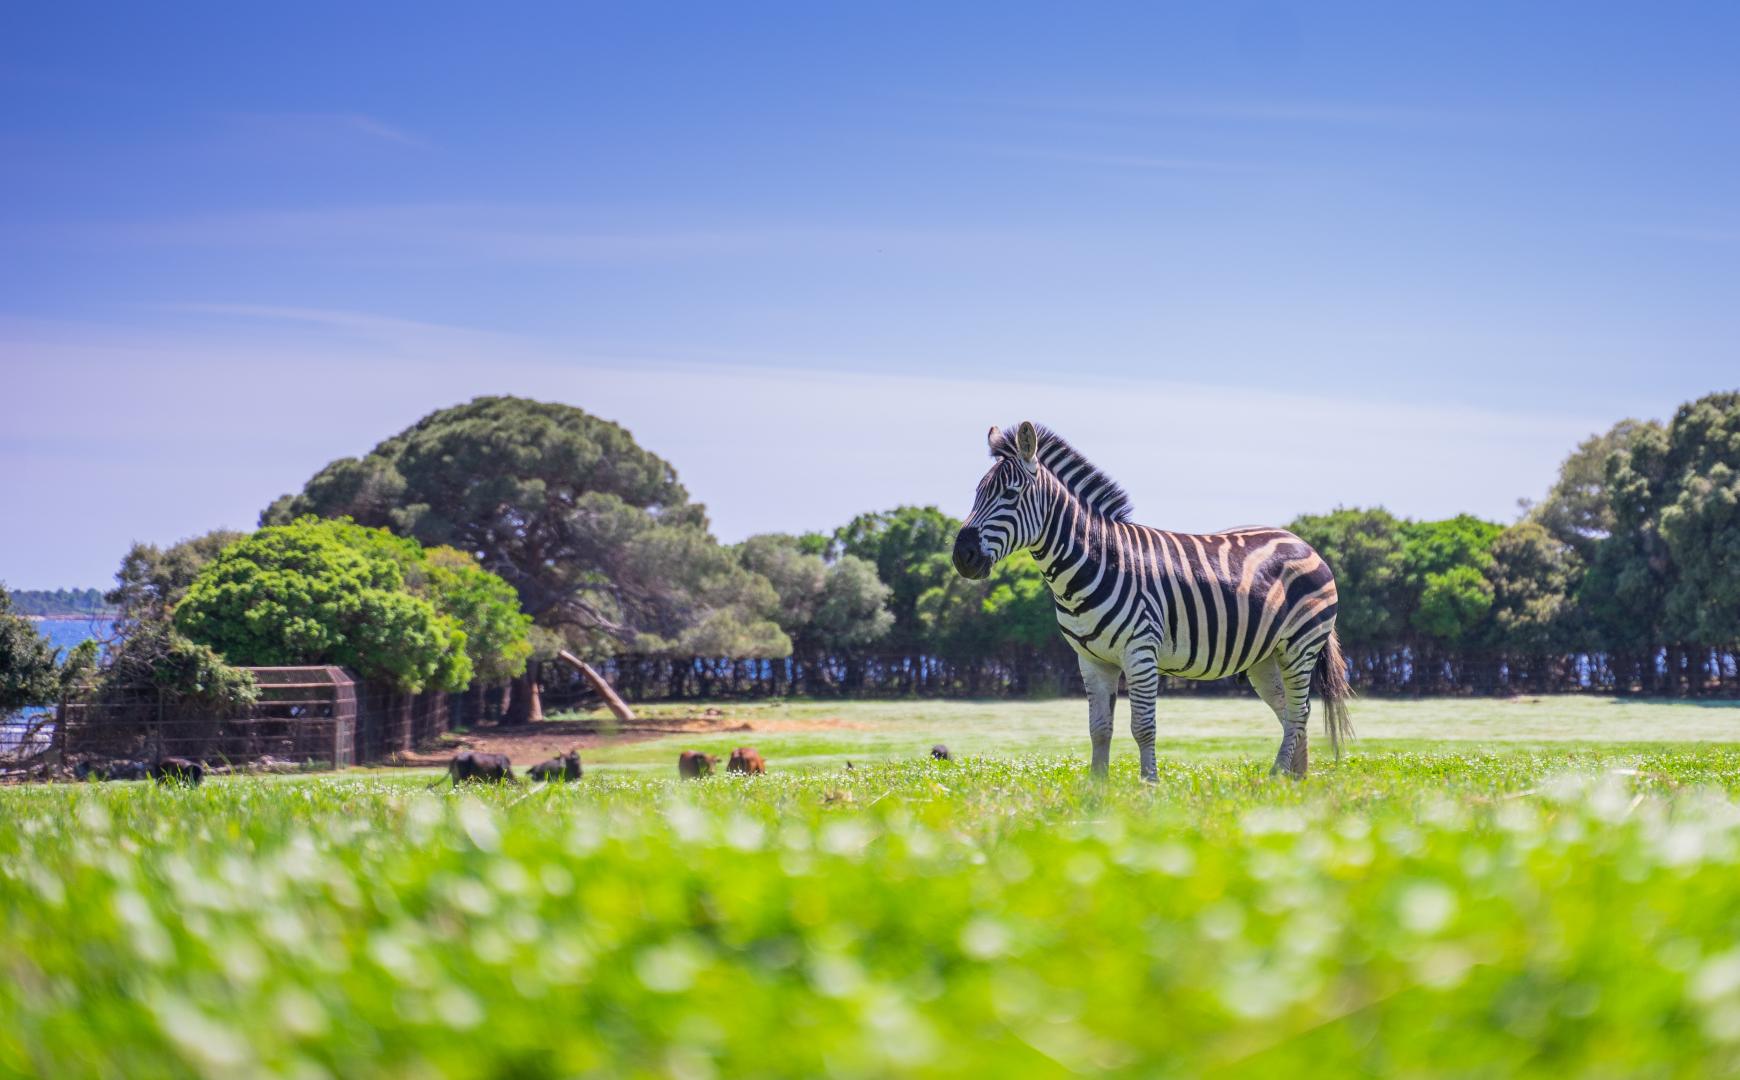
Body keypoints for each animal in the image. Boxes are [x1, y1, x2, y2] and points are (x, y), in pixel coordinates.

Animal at [953, 420, 1343, 782]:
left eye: (1010, 494)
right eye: (978, 493)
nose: (962, 556)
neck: (1093, 562)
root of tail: (1301, 542)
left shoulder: (1140, 651)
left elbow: (1143, 727)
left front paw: (1148, 788)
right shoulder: (1091, 660)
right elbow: (1099, 729)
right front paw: (1097, 789)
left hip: (1300, 646)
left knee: (1298, 712)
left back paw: (1278, 776)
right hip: (1265, 657)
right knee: (1290, 710)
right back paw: (1295, 780)